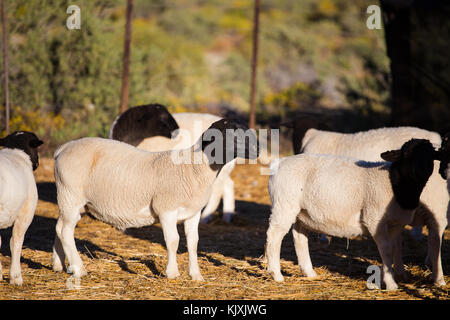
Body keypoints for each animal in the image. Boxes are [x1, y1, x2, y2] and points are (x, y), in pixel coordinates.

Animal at [51, 118, 258, 280]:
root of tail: (64, 148)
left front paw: (196, 275)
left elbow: (193, 242)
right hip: (71, 194)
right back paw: (79, 269)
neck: (193, 169)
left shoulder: (193, 213)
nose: (257, 150)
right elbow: (173, 241)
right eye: (231, 134)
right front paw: (172, 273)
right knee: (66, 231)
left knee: (59, 228)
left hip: (71, 200)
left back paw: (59, 265)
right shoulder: (166, 209)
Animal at [109, 104, 237, 222]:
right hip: (223, 169)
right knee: (228, 184)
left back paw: (205, 217)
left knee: (217, 191)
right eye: (163, 117)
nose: (177, 131)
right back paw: (227, 216)